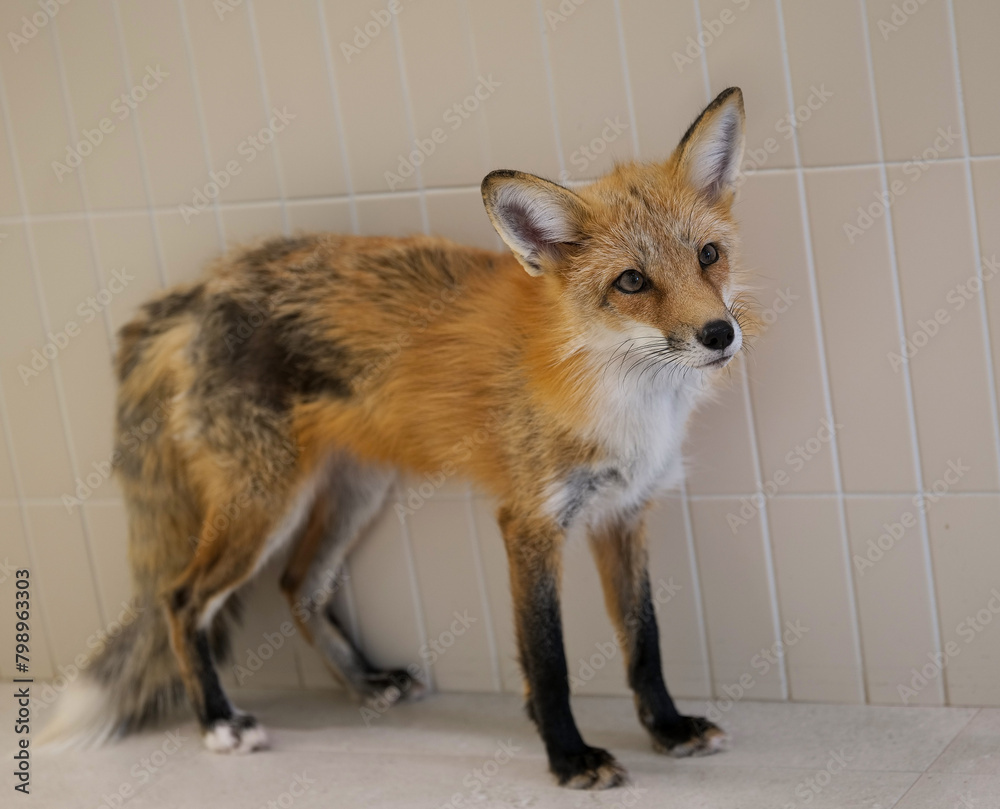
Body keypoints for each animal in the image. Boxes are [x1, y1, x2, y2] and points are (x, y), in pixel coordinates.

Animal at [40, 87, 753, 789]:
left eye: (707, 255)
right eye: (631, 281)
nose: (720, 334)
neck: (624, 396)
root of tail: (204, 286)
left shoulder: (623, 513)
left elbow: (644, 642)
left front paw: (668, 729)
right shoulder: (530, 522)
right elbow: (548, 661)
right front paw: (569, 757)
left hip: (355, 490)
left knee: (299, 584)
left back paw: (364, 682)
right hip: (264, 504)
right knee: (181, 598)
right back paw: (218, 721)